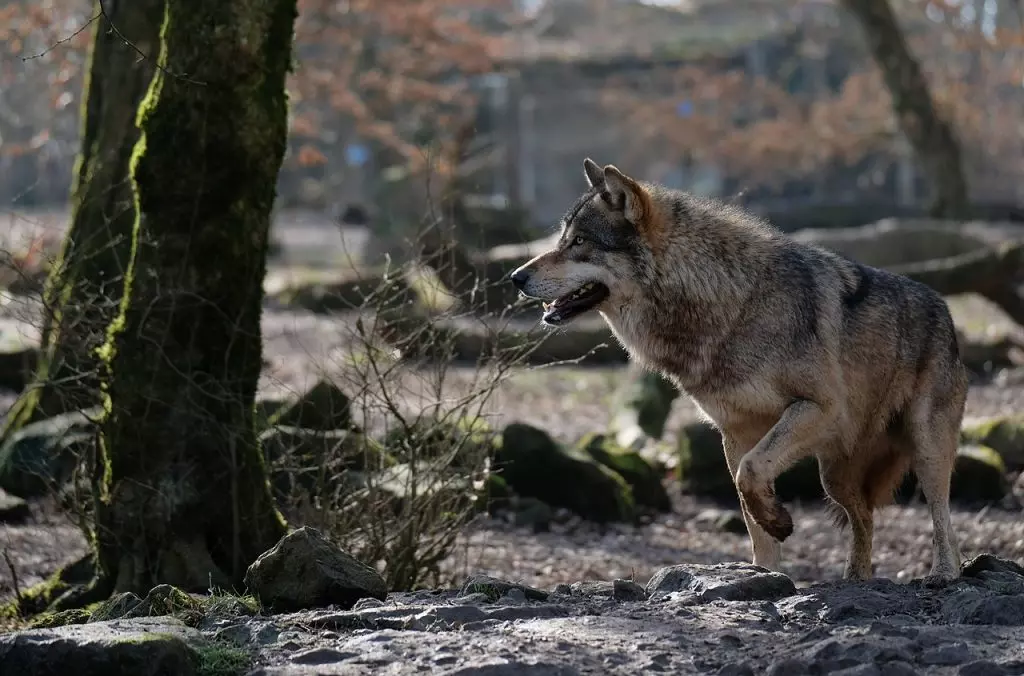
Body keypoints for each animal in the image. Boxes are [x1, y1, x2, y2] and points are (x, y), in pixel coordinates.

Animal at [509, 158, 969, 583]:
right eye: (562, 239)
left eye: (579, 242)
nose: (515, 276)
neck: (730, 303)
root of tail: (945, 309)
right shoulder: (736, 432)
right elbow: (748, 500)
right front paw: (764, 572)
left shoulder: (817, 408)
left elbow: (752, 474)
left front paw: (779, 523)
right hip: (833, 476)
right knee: (865, 519)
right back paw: (855, 579)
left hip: (924, 448)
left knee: (943, 519)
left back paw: (943, 574)